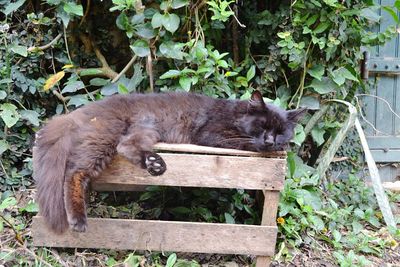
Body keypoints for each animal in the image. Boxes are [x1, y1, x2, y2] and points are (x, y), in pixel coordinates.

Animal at [33, 91, 306, 233]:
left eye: (280, 131)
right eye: (262, 126)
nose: (270, 140)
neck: (234, 113)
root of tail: (77, 113)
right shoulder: (212, 134)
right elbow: (245, 142)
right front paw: (277, 148)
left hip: (145, 130)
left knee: (126, 147)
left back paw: (155, 165)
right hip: (106, 136)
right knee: (75, 172)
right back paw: (78, 220)